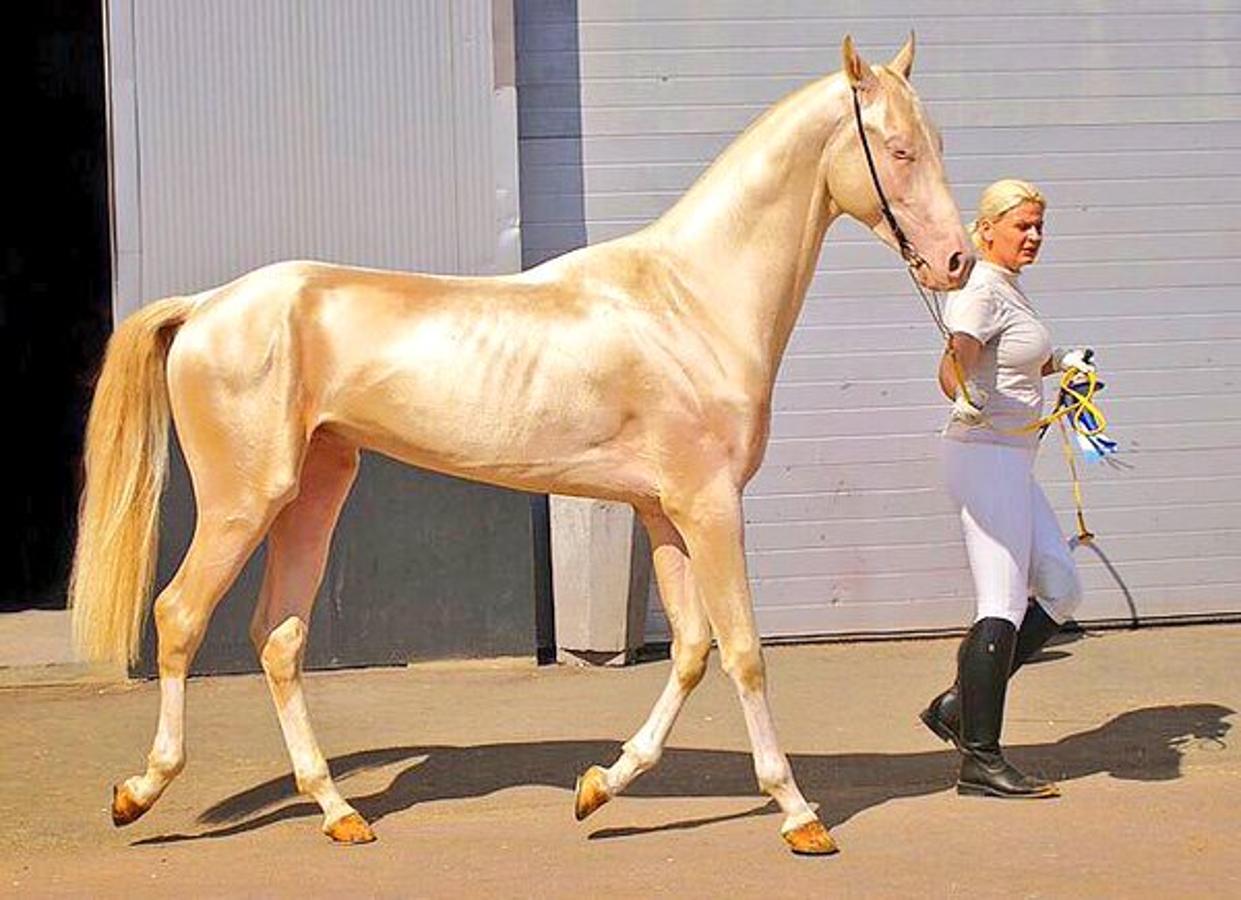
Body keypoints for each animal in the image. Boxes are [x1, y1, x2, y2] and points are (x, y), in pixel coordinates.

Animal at [72, 33, 972, 849]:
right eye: (897, 149)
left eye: (935, 142)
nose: (957, 260)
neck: (690, 301)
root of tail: (206, 305)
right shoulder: (710, 506)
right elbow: (744, 650)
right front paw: (797, 814)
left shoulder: (661, 514)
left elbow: (688, 650)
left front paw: (599, 787)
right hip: (243, 500)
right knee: (180, 614)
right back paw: (138, 793)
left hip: (316, 490)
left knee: (279, 637)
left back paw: (338, 812)